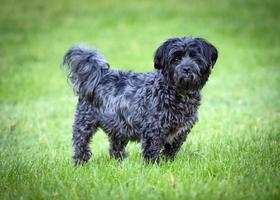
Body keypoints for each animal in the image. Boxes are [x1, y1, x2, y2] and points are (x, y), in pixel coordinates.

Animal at [64, 37, 219, 164]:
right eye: (175, 59)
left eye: (195, 57)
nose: (186, 68)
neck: (175, 92)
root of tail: (101, 74)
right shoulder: (153, 128)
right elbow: (152, 149)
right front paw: (153, 166)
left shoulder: (180, 132)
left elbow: (171, 150)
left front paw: (168, 163)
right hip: (85, 122)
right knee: (80, 143)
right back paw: (80, 162)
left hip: (118, 125)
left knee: (115, 147)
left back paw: (120, 162)